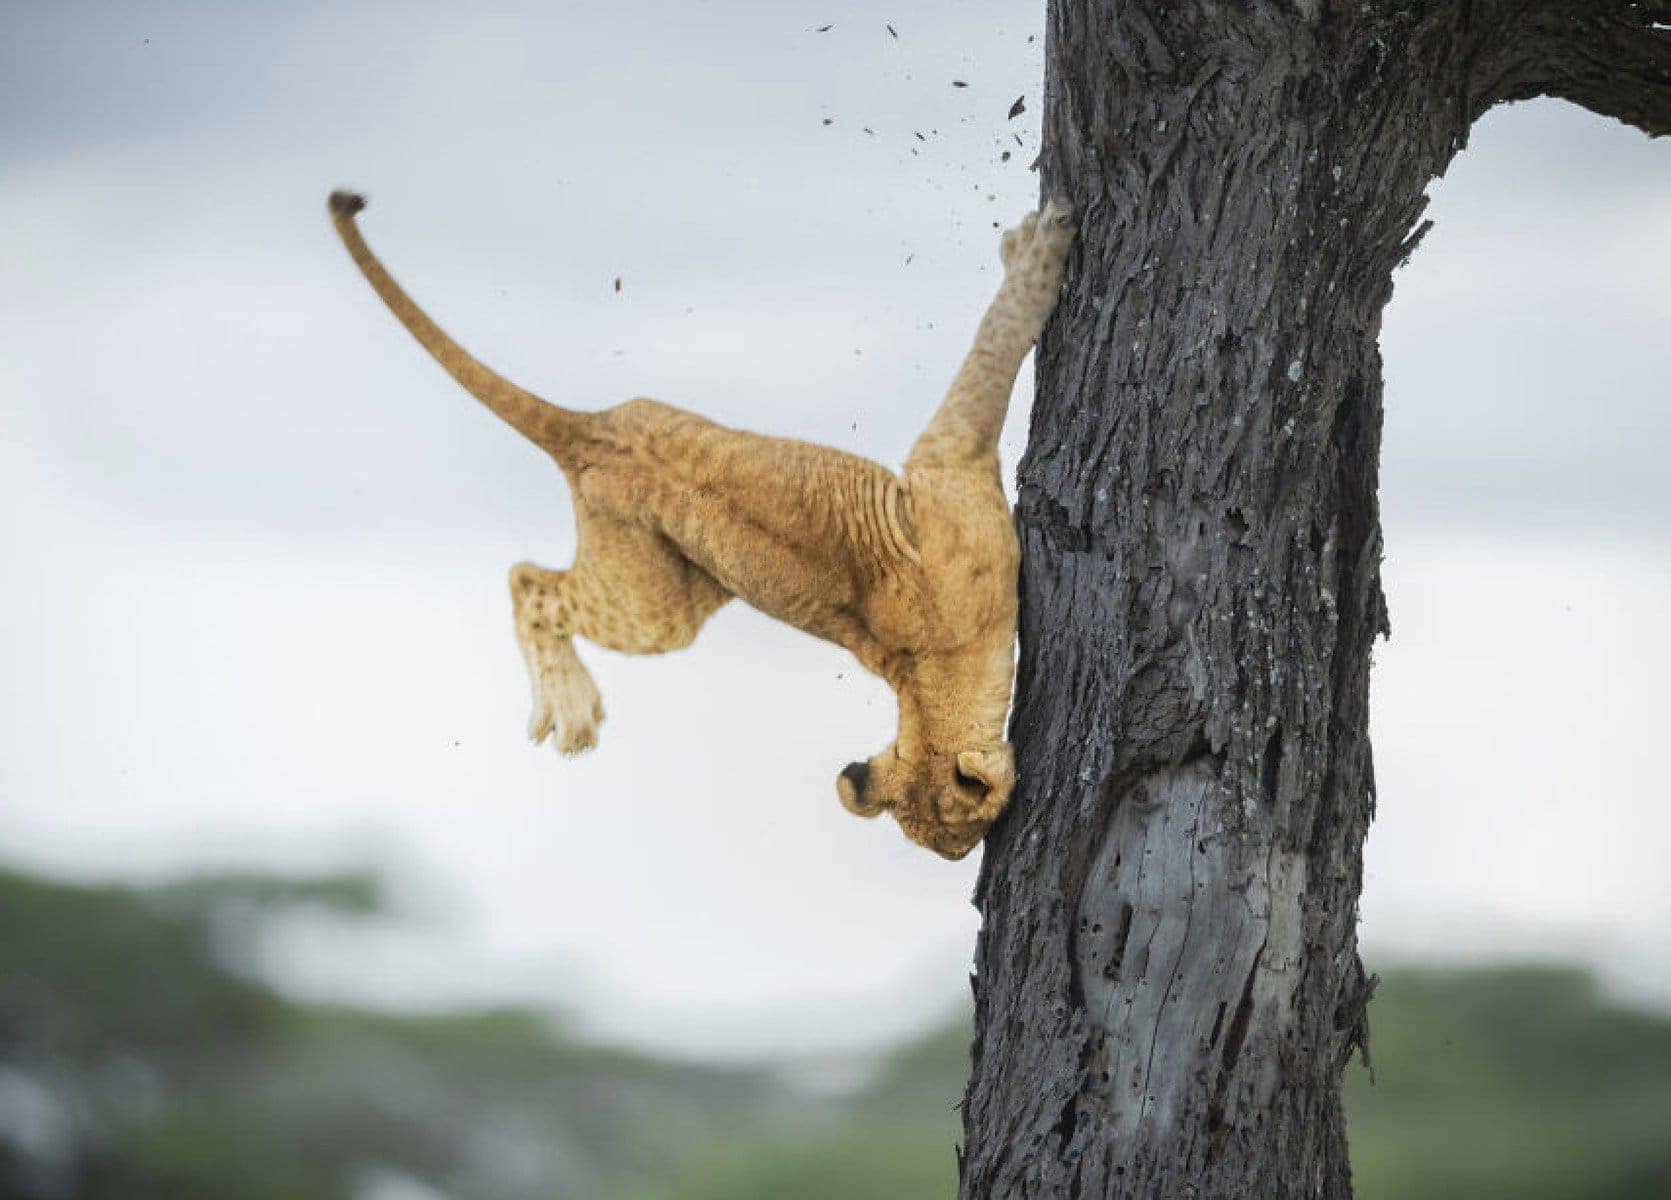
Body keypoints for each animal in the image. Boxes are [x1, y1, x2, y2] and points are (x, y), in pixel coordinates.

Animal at [329, 193, 1069, 862]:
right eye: (959, 841)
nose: (959, 865)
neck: (921, 683)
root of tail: (584, 432)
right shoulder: (946, 463)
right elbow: (990, 354)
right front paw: (1037, 250)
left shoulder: (943, 473)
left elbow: (988, 352)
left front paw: (1029, 247)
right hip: (655, 611)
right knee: (527, 582)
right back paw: (570, 712)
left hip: (694, 572)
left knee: (533, 574)